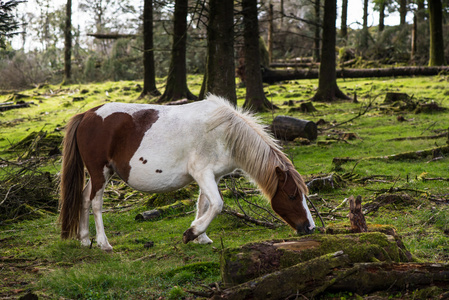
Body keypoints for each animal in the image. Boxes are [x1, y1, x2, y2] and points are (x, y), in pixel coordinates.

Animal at [57, 94, 314, 251]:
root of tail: (87, 114)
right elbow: (217, 204)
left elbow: (204, 204)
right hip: (100, 173)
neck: (224, 133)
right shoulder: (203, 174)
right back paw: (103, 243)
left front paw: (202, 237)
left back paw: (85, 240)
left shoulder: (211, 176)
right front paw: (192, 233)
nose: (310, 228)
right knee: (96, 203)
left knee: (84, 198)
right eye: (292, 195)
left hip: (102, 174)